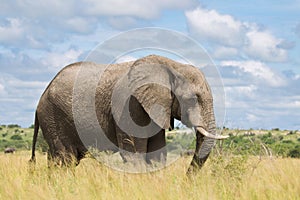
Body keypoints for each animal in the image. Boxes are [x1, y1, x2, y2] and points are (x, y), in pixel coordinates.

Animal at [30, 54, 227, 172]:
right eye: (192, 100)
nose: (186, 178)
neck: (172, 66)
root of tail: (42, 95)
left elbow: (156, 155)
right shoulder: (128, 106)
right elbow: (133, 155)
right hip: (53, 115)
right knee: (65, 159)